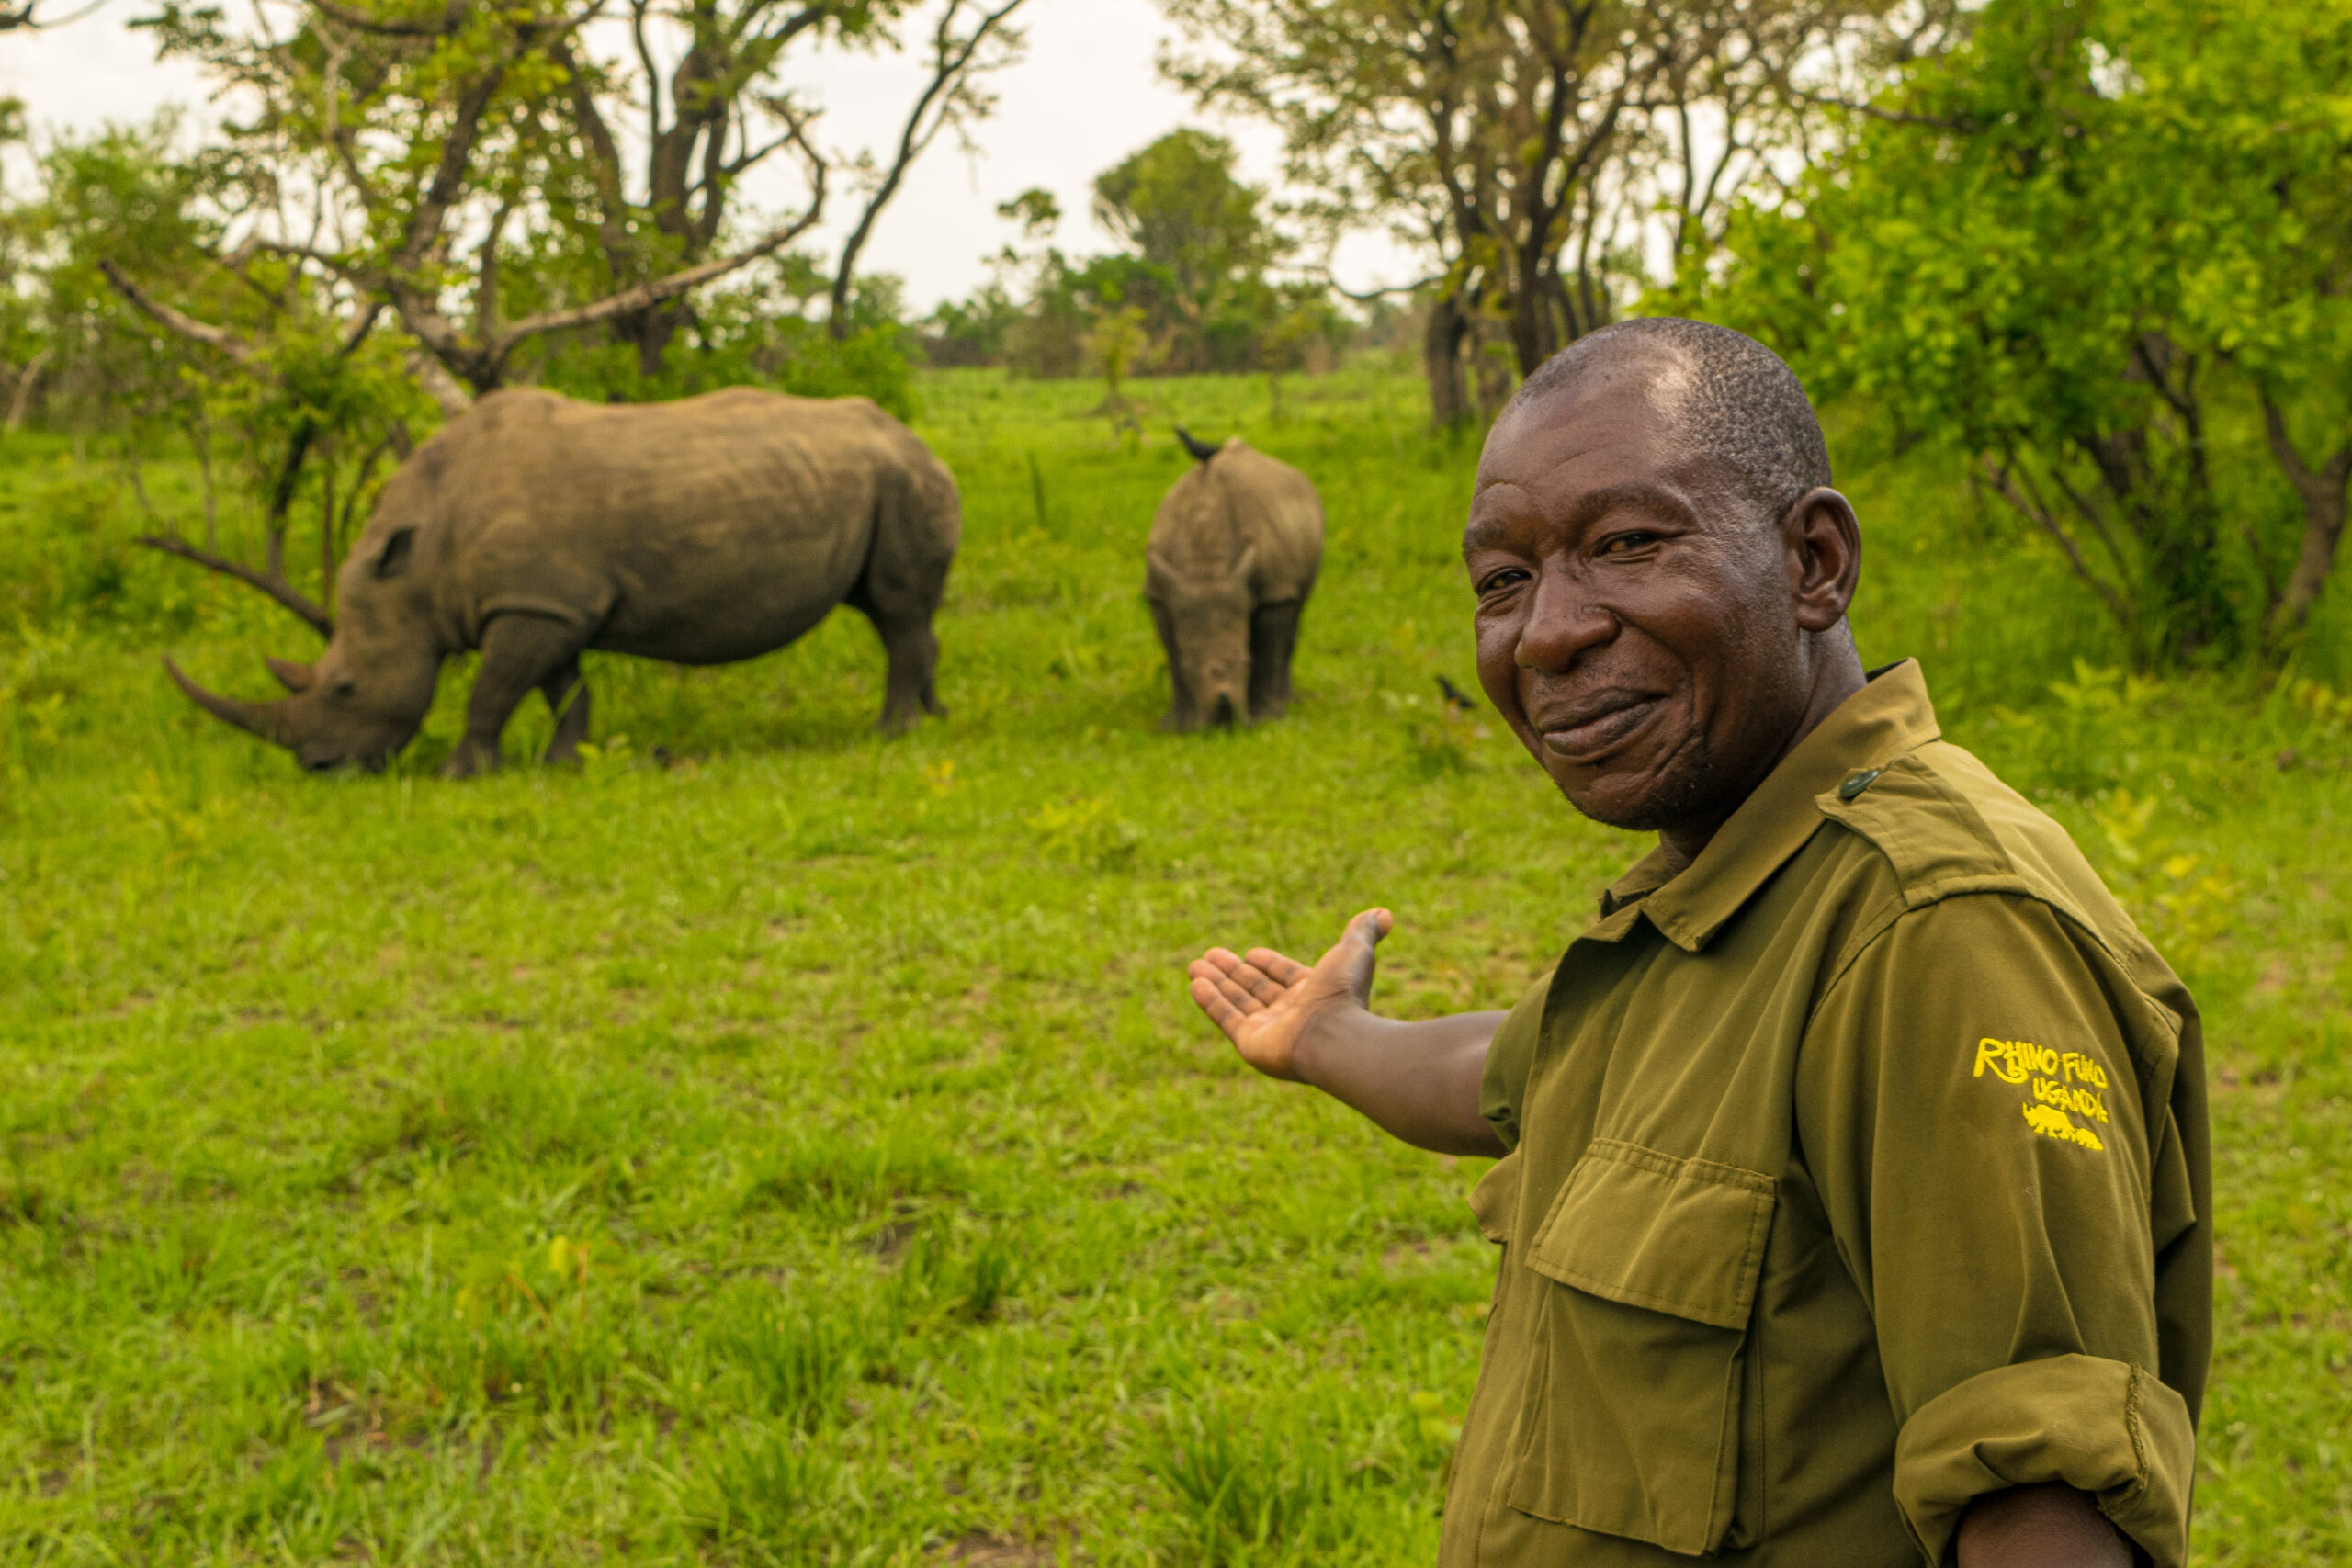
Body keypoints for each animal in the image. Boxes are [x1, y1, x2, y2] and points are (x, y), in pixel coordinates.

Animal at [166, 387, 959, 776]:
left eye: (345, 687)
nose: (319, 767)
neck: (422, 564)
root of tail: (917, 437)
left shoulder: (533, 604)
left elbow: (492, 690)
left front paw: (461, 774)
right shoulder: (549, 604)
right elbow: (563, 689)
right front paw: (564, 763)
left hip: (903, 477)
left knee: (895, 612)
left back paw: (890, 735)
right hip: (879, 475)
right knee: (896, 612)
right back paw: (934, 717)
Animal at [1146, 429, 1324, 730]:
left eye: (1247, 663)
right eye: (1189, 668)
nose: (1224, 722)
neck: (1206, 569)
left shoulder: (1274, 591)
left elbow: (1268, 649)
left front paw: (1267, 718)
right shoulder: (1161, 595)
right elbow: (1173, 653)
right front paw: (1176, 726)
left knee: (1296, 610)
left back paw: (1290, 703)